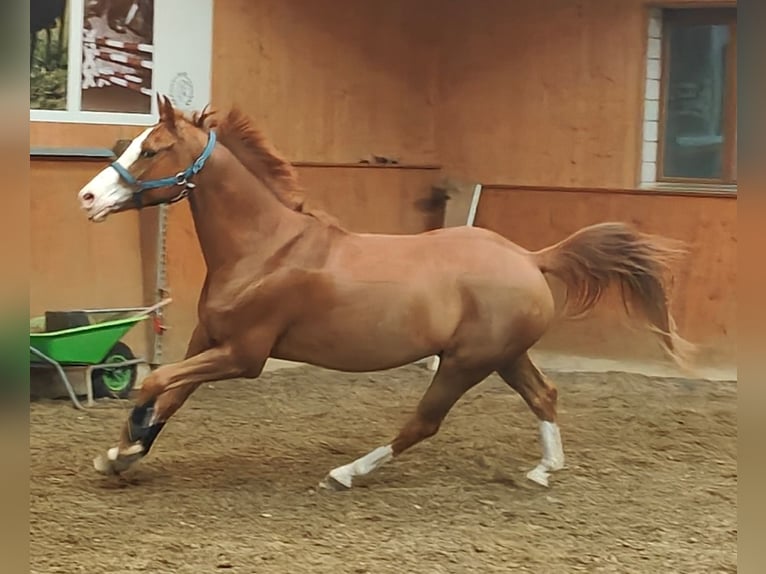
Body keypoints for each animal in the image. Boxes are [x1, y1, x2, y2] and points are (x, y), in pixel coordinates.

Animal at [78, 97, 696, 492]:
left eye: (152, 150)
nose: (87, 198)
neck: (264, 248)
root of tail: (528, 257)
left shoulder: (244, 356)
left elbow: (154, 383)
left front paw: (123, 449)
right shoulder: (208, 341)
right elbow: (171, 394)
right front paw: (123, 454)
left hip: (465, 363)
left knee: (422, 423)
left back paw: (347, 473)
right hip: (504, 356)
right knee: (544, 396)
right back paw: (545, 471)